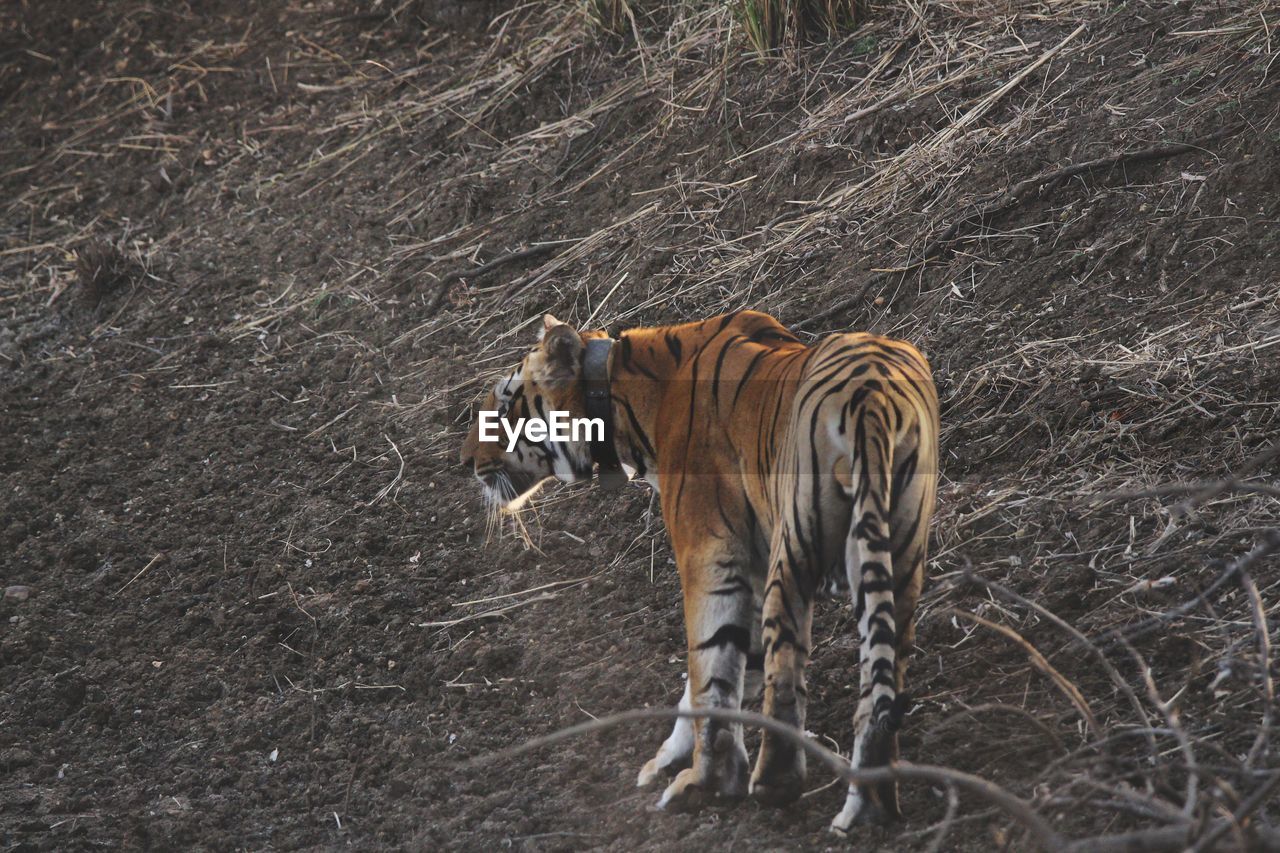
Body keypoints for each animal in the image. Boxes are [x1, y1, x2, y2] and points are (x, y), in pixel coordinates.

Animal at [460, 308, 942, 824]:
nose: (466, 461)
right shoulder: (751, 558)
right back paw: (869, 804)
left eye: (505, 404)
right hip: (900, 552)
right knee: (882, 670)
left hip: (795, 547)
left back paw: (774, 784)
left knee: (787, 670)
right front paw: (671, 759)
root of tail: (874, 397)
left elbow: (711, 664)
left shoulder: (709, 550)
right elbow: (730, 667)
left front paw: (705, 780)